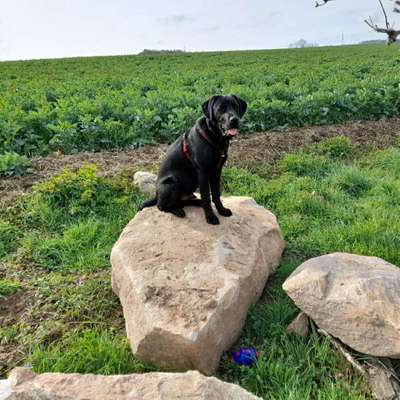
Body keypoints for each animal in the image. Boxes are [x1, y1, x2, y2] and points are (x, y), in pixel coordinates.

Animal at [140, 94, 247, 225]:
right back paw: (177, 210)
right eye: (220, 109)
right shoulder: (203, 173)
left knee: (181, 201)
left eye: (235, 106)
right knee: (161, 206)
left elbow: (216, 194)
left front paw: (221, 210)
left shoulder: (217, 171)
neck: (215, 138)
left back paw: (195, 203)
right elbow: (207, 197)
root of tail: (156, 195)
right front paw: (210, 217)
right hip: (171, 184)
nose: (234, 120)